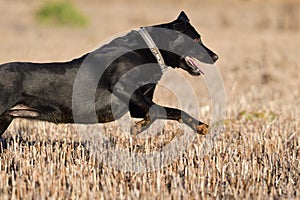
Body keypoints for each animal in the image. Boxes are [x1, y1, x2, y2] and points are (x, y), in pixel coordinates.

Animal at [0, 11, 217, 136]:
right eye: (196, 40)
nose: (215, 57)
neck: (148, 51)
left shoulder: (138, 106)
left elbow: (171, 111)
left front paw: (200, 126)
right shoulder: (123, 87)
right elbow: (158, 111)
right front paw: (138, 128)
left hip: (5, 118)